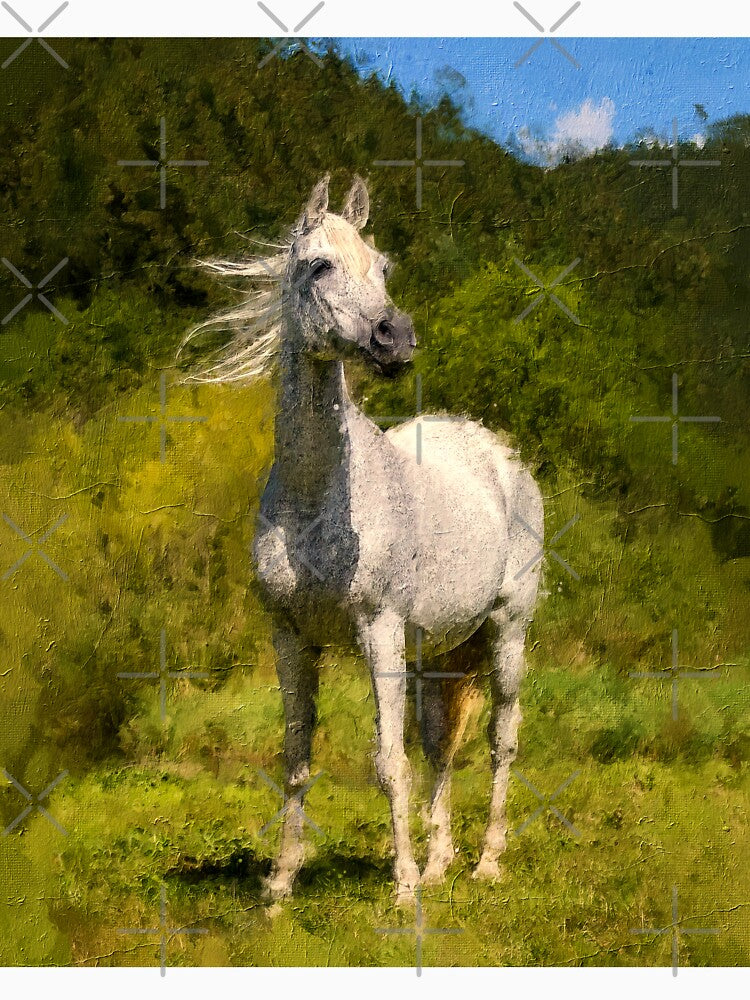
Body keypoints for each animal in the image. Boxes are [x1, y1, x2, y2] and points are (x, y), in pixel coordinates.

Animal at [185, 174, 544, 905]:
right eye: (319, 265)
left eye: (382, 267)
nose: (394, 338)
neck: (316, 499)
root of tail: (503, 457)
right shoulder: (292, 638)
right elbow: (298, 759)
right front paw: (279, 886)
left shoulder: (378, 629)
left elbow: (387, 762)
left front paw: (401, 887)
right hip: (439, 651)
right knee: (442, 745)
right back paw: (440, 863)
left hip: (506, 630)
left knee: (501, 740)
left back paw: (486, 862)